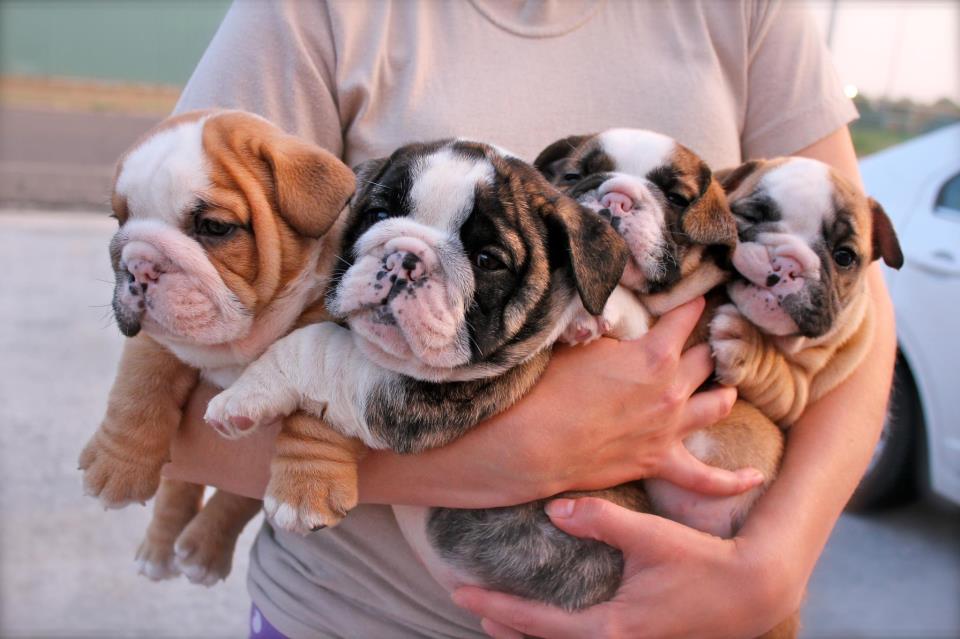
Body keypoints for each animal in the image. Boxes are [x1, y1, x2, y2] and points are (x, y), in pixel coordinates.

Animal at [78, 110, 356, 584]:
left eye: (214, 227)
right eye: (119, 220)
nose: (138, 264)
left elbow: (318, 410)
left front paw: (306, 489)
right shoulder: (158, 341)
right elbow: (139, 389)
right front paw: (116, 467)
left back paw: (203, 549)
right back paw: (160, 547)